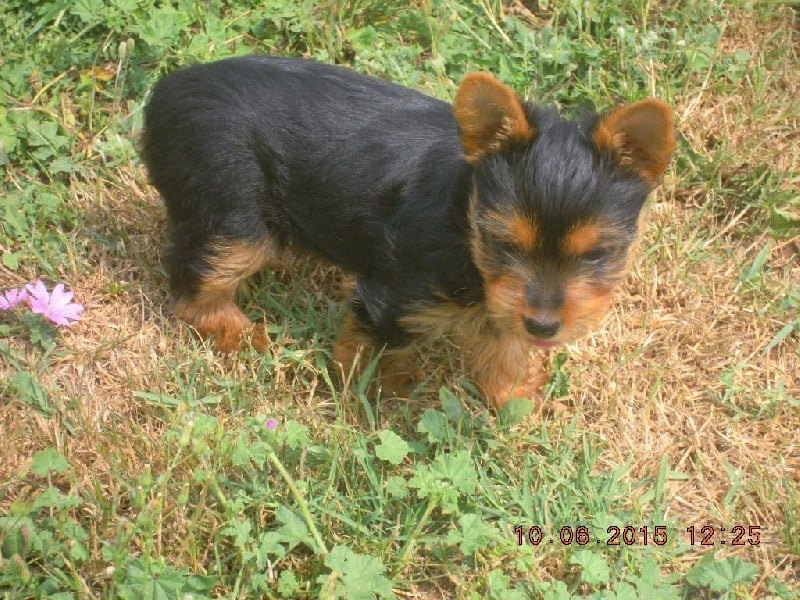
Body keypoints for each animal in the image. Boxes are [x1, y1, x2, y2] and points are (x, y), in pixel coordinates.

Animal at [142, 55, 676, 408]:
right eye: (504, 244)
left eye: (596, 255)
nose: (544, 327)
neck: (462, 220)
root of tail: (164, 93)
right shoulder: (393, 294)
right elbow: (378, 346)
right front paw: (375, 393)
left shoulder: (508, 301)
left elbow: (504, 345)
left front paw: (513, 398)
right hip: (234, 214)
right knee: (195, 280)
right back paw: (237, 332)